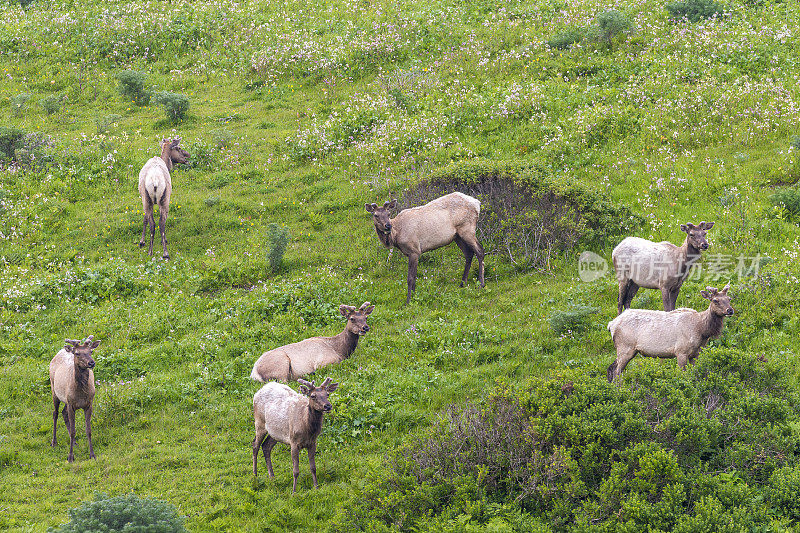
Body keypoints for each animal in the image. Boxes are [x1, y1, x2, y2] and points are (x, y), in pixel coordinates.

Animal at [608, 284, 736, 380]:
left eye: (729, 299)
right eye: (715, 300)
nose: (730, 310)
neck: (701, 331)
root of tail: (611, 325)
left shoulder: (696, 354)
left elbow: (694, 374)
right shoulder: (681, 351)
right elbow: (683, 375)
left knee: (611, 367)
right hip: (625, 347)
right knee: (617, 371)